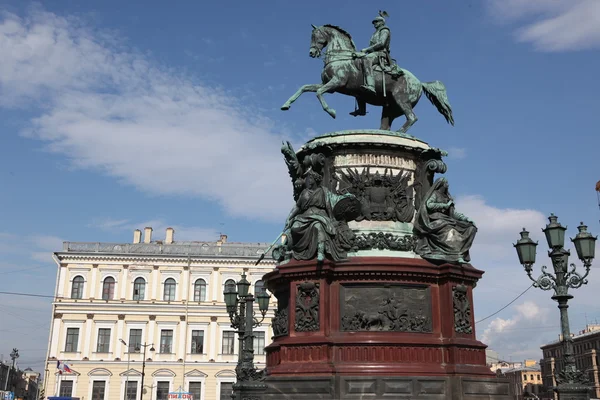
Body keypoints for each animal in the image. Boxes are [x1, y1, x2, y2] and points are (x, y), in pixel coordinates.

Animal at [282, 25, 454, 134]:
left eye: (316, 36)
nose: (312, 53)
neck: (340, 57)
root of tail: (419, 82)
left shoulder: (336, 84)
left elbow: (318, 93)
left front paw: (331, 112)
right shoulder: (328, 85)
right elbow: (304, 87)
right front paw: (286, 104)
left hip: (401, 100)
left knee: (412, 117)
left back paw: (400, 132)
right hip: (390, 107)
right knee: (387, 124)